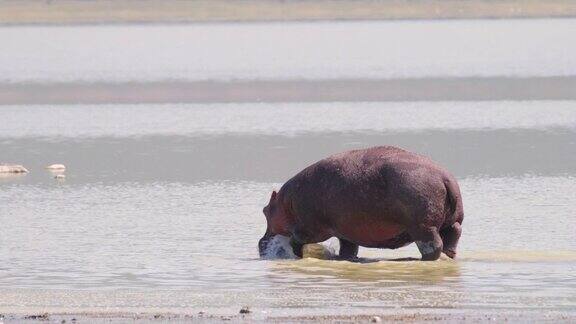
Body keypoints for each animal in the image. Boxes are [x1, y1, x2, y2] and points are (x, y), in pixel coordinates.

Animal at [260, 147, 464, 260]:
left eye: (264, 210)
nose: (261, 243)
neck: (285, 203)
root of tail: (445, 177)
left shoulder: (309, 229)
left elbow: (295, 240)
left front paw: (298, 255)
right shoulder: (345, 232)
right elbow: (348, 249)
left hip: (423, 227)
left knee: (433, 246)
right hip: (449, 220)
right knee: (453, 233)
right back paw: (450, 254)